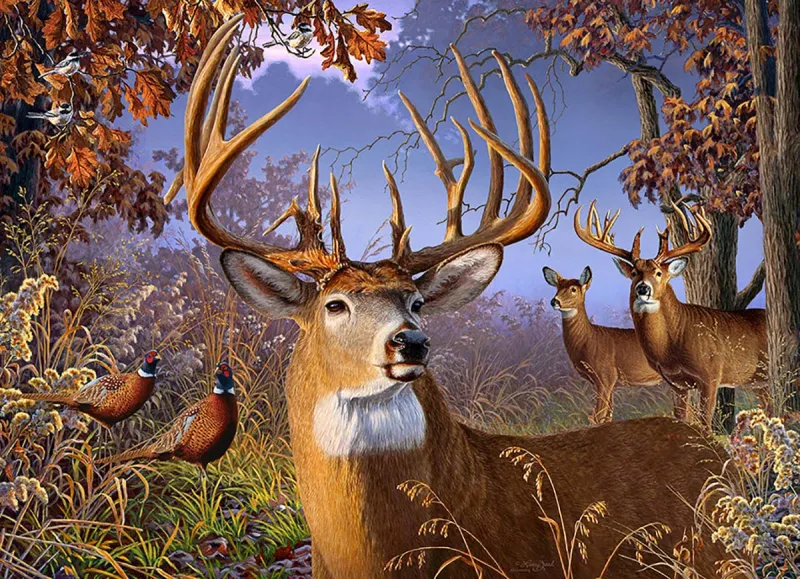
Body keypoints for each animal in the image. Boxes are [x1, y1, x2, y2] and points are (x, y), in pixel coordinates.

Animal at [543, 266, 663, 423]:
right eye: (557, 287)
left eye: (573, 289)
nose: (554, 301)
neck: (589, 339)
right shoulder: (609, 383)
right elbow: (607, 417)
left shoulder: (606, 377)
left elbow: (598, 417)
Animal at [574, 200, 770, 432]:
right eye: (634, 273)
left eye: (659, 273)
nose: (643, 288)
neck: (676, 340)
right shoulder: (677, 384)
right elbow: (681, 418)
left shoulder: (711, 375)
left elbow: (705, 423)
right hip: (759, 382)